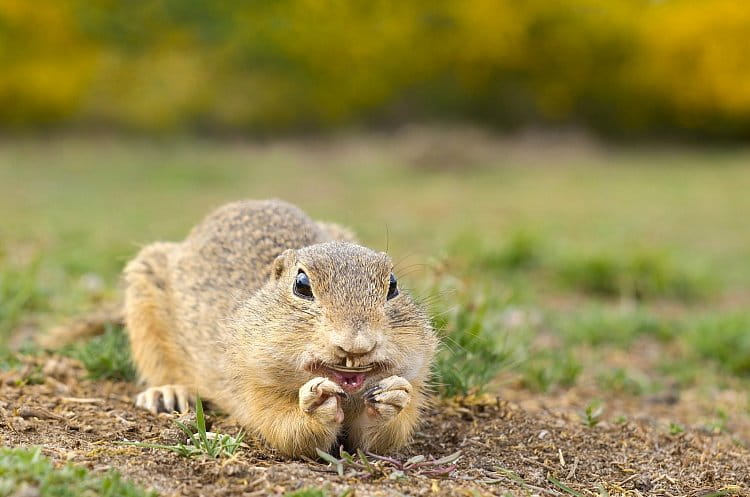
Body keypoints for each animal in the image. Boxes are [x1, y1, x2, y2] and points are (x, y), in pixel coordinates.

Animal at [122, 200, 440, 456]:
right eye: (302, 284)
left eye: (393, 285)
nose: (356, 345)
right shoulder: (252, 387)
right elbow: (287, 430)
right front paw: (316, 405)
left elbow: (380, 439)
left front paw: (393, 398)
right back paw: (167, 394)